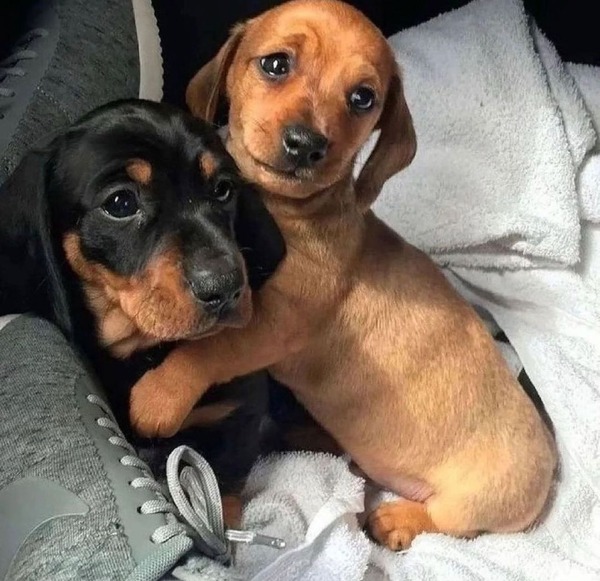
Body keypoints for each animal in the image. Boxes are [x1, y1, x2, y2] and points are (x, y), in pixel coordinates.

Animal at [0, 97, 286, 500]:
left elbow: (225, 490)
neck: (138, 351)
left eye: (223, 189)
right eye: (121, 203)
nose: (227, 287)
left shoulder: (238, 415)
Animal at [129, 0, 556, 548]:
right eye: (275, 64)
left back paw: (396, 520)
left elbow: (213, 346)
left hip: (474, 499)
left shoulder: (277, 323)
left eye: (362, 97)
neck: (288, 211)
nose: (305, 144)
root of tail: (551, 464)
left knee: (450, 522)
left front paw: (159, 394)